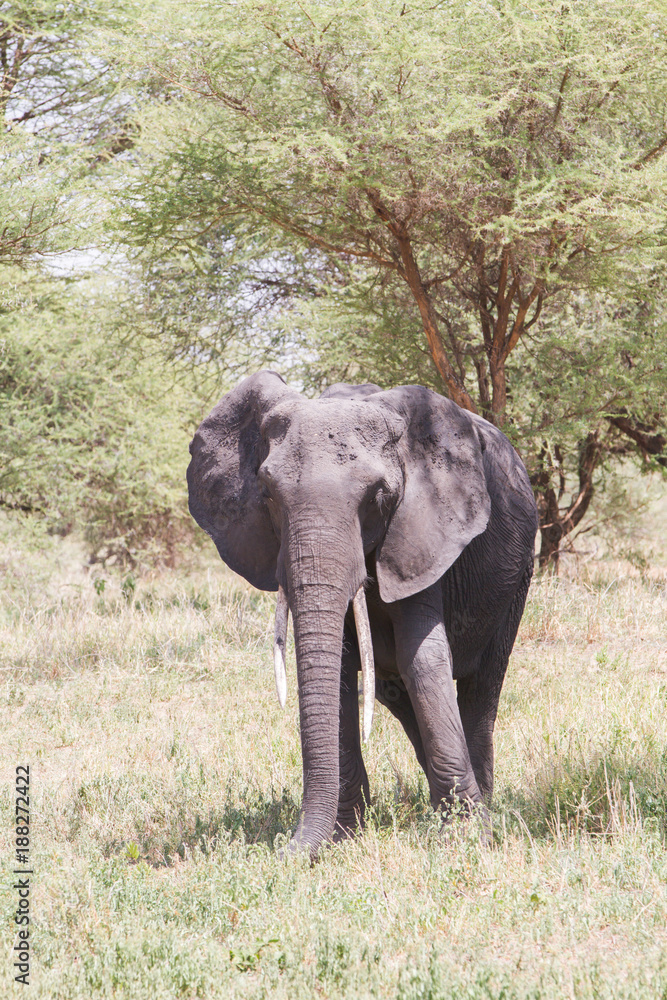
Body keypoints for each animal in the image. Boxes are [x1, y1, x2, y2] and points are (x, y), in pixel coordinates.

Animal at [187, 370, 538, 858]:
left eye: (378, 496)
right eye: (269, 494)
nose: (285, 851)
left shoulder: (422, 530)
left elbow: (421, 656)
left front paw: (467, 839)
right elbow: (339, 665)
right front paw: (343, 835)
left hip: (518, 576)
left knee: (482, 686)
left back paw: (482, 800)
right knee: (397, 695)